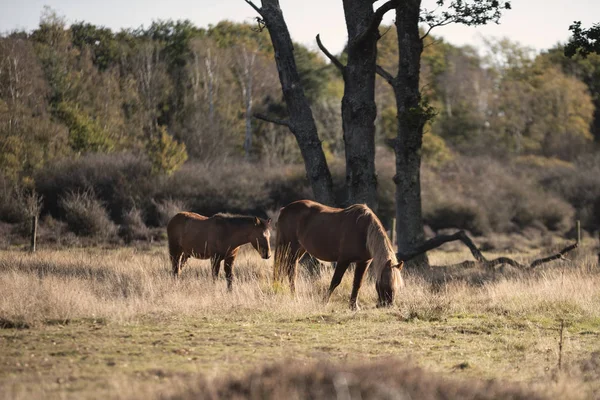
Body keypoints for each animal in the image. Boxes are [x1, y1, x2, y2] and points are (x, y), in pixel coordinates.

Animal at [276, 200, 404, 310]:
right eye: (385, 283)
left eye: (398, 286)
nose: (388, 305)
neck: (364, 231)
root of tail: (284, 209)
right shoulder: (343, 260)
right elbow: (335, 281)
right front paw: (324, 302)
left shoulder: (364, 262)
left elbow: (357, 283)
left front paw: (353, 307)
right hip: (290, 247)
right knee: (291, 271)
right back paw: (294, 297)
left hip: (299, 249)